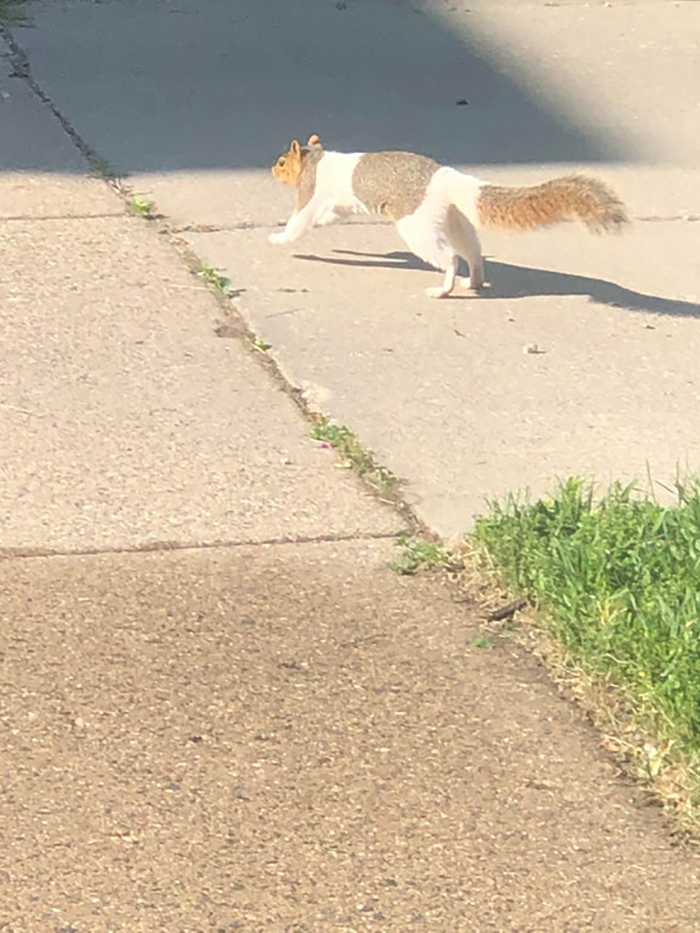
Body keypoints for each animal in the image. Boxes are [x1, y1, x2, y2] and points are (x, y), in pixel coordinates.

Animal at [270, 131, 628, 296]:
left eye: (283, 162)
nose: (272, 170)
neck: (316, 160)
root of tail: (444, 178)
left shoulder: (312, 193)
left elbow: (300, 221)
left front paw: (278, 237)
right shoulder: (337, 206)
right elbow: (326, 219)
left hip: (418, 227)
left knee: (450, 258)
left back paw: (444, 288)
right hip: (455, 220)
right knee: (473, 252)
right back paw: (474, 280)